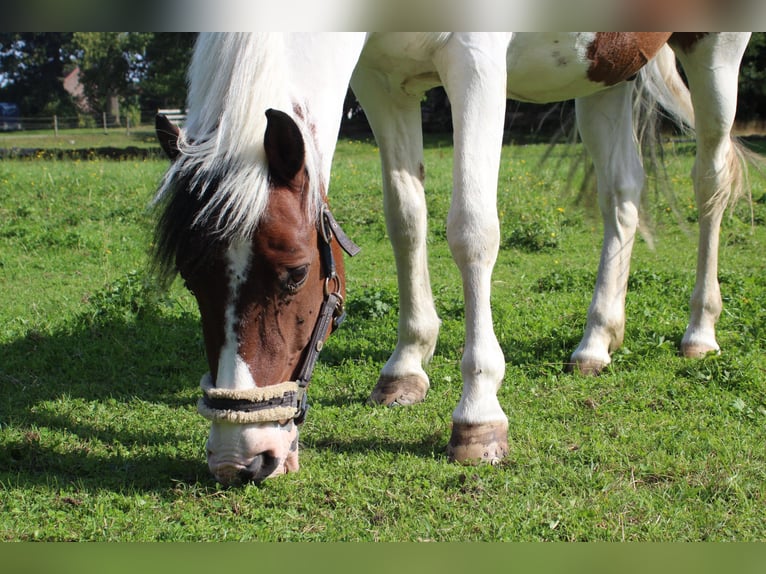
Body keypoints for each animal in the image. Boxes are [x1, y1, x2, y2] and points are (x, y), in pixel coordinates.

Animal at [153, 33, 752, 486]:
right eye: (191, 278)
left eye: (296, 273)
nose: (239, 459)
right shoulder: (382, 81)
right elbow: (405, 218)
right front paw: (405, 365)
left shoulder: (476, 60)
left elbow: (471, 231)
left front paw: (479, 414)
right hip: (606, 73)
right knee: (622, 194)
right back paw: (597, 340)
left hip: (715, 51)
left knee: (710, 180)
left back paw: (700, 331)